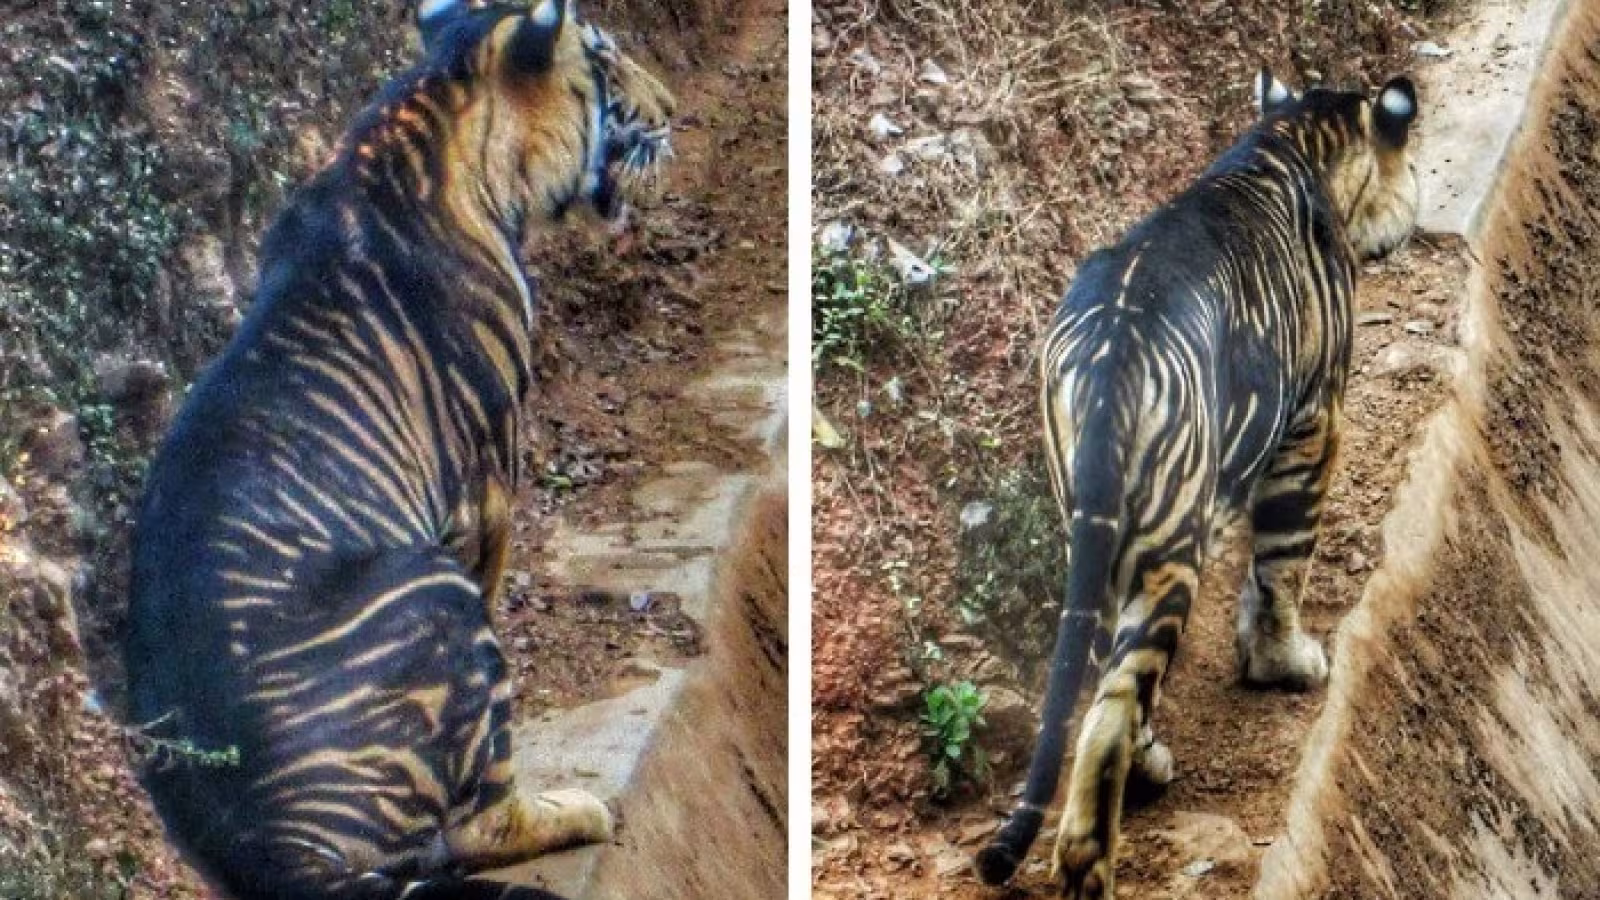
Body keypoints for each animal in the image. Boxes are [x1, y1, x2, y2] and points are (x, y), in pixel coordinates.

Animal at [123, 2, 673, 898]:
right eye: (606, 58)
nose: (672, 111)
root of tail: (278, 853)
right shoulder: (491, 474)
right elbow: (497, 582)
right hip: (432, 596)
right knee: (481, 821)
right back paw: (580, 809)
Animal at [975, 70, 1420, 898]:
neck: (1289, 133)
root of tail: (1110, 353)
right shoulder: (1314, 420)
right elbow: (1285, 559)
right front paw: (1284, 662)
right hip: (1166, 545)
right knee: (1111, 709)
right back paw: (1092, 857)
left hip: (1097, 533)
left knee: (1106, 679)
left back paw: (1146, 767)